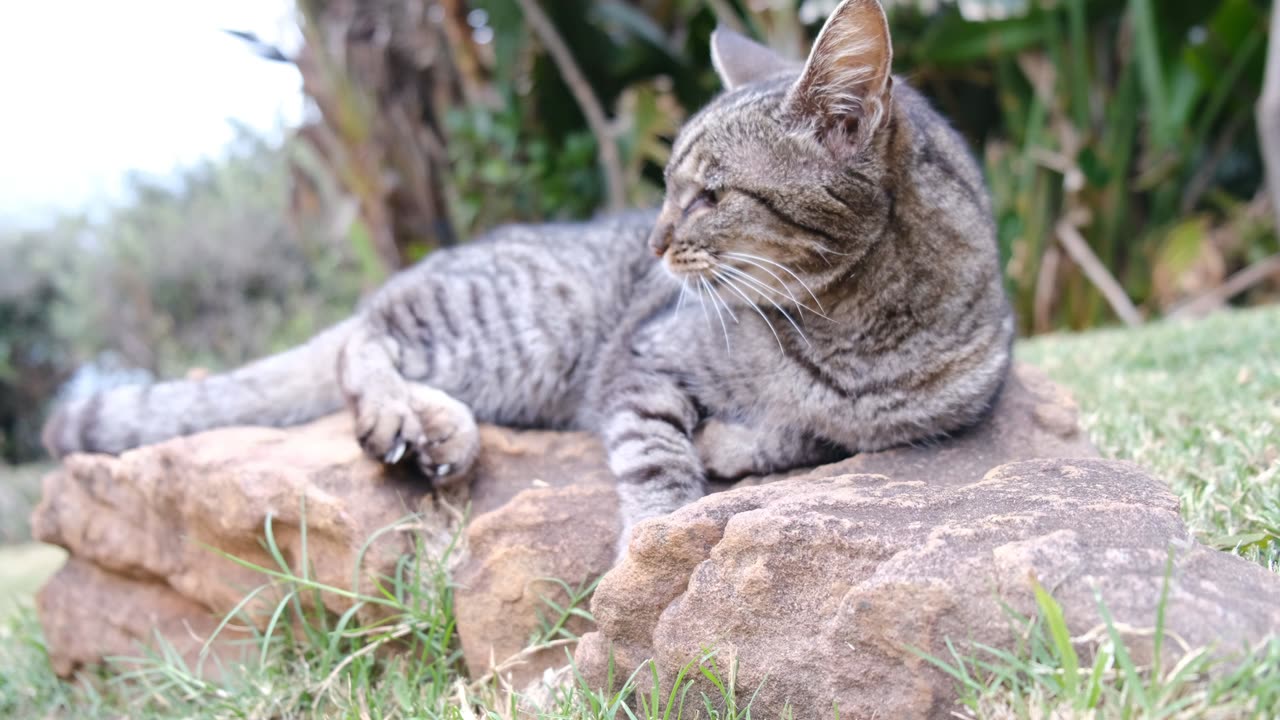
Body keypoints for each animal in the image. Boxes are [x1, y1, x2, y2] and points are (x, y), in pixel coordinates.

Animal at [45, 0, 1013, 556]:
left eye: (707, 195)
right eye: (668, 185)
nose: (654, 241)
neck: (852, 333)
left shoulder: (937, 414)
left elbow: (817, 436)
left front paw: (741, 442)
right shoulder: (637, 360)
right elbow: (657, 457)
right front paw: (658, 535)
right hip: (513, 331)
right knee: (362, 341)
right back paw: (414, 418)